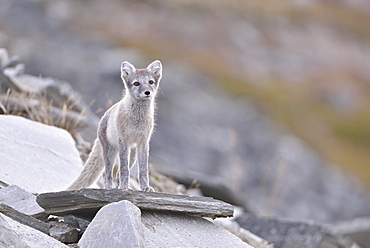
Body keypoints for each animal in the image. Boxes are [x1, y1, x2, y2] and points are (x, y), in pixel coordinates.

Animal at [67, 60, 163, 192]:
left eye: (151, 82)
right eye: (136, 83)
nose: (147, 92)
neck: (137, 119)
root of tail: (103, 117)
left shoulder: (143, 142)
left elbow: (143, 170)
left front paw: (145, 187)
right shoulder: (123, 141)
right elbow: (123, 169)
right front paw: (124, 187)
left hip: (132, 154)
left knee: (121, 171)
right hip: (110, 152)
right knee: (108, 173)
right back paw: (109, 187)